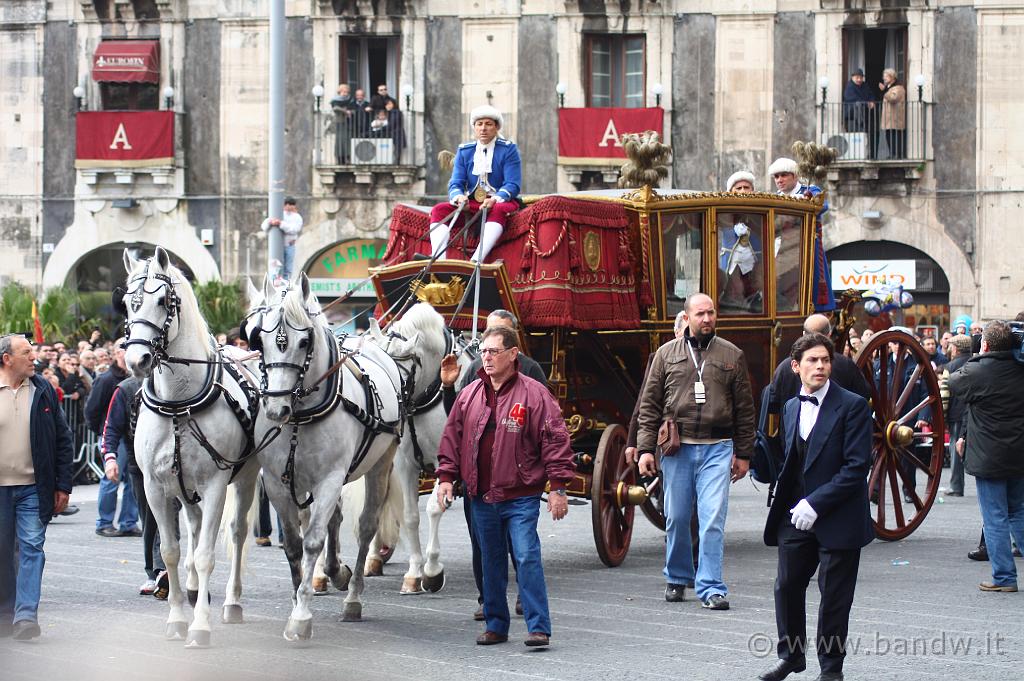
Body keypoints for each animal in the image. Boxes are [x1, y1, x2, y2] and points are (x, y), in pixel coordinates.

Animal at [118, 246, 262, 647]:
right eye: (127, 303)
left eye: (164, 301)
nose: (137, 360)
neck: (178, 404)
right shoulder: (155, 487)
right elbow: (170, 552)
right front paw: (178, 618)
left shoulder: (215, 485)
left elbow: (206, 555)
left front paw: (199, 626)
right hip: (184, 488)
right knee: (195, 529)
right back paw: (197, 590)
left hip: (245, 478)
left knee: (236, 533)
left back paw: (231, 603)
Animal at [245, 274, 446, 639]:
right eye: (258, 338)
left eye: (304, 340)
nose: (276, 408)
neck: (301, 416)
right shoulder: (280, 483)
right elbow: (295, 543)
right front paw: (303, 589)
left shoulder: (330, 479)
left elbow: (313, 541)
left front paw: (302, 614)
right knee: (335, 521)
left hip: (382, 464)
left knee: (366, 526)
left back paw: (353, 596)